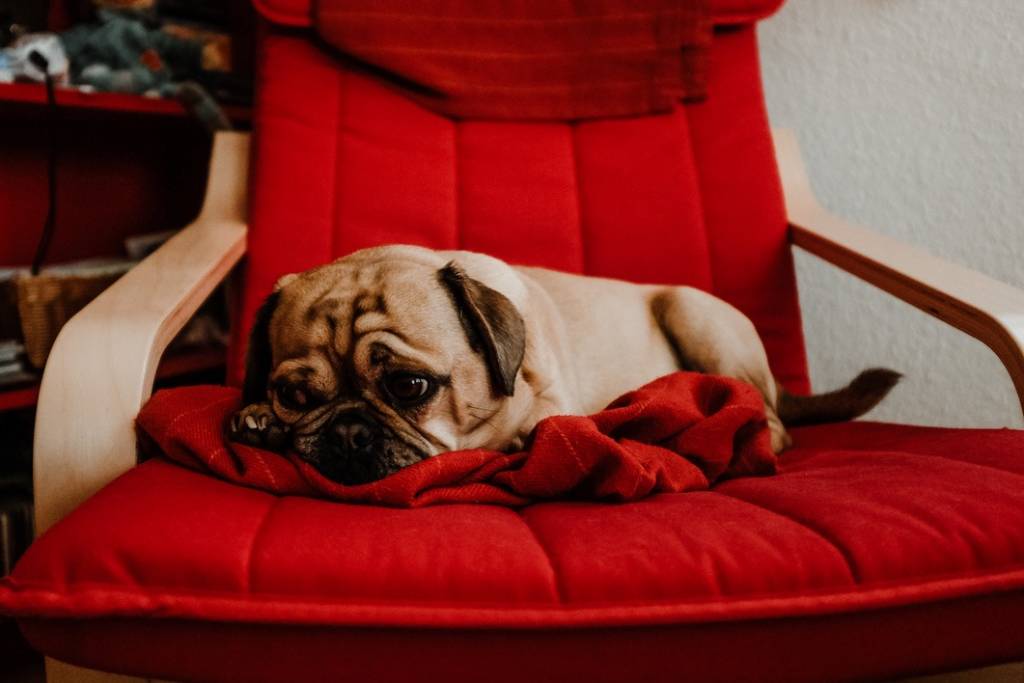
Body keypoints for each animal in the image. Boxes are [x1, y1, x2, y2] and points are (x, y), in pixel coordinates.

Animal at [229, 244, 899, 485]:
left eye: (409, 386)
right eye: (295, 396)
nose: (347, 431)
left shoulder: (549, 405)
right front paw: (256, 418)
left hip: (694, 311)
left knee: (769, 421)